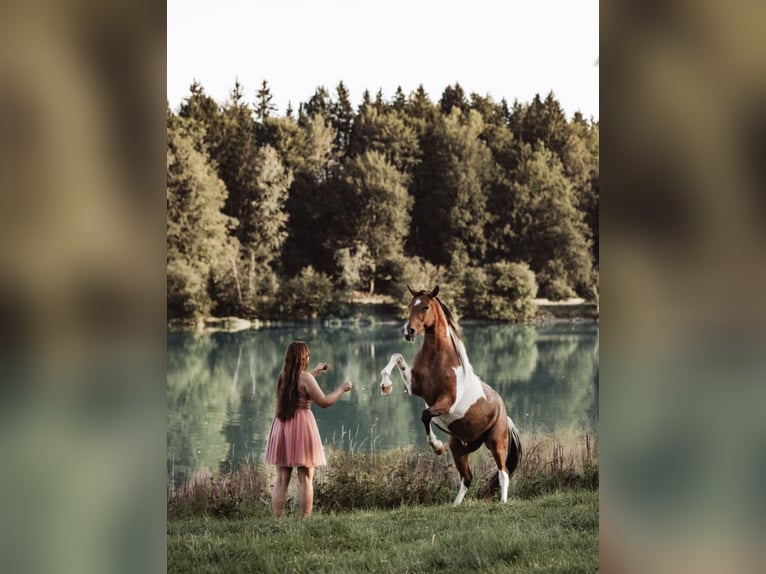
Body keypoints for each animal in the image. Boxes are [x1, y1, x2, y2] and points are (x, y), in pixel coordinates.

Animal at [379, 285, 522, 505]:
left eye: (426, 306)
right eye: (410, 305)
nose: (408, 332)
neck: (437, 359)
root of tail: (504, 414)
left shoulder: (446, 402)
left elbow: (425, 415)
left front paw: (437, 447)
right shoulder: (414, 387)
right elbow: (397, 356)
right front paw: (385, 385)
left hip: (496, 443)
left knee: (503, 472)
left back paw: (503, 503)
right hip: (460, 448)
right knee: (467, 477)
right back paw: (455, 505)